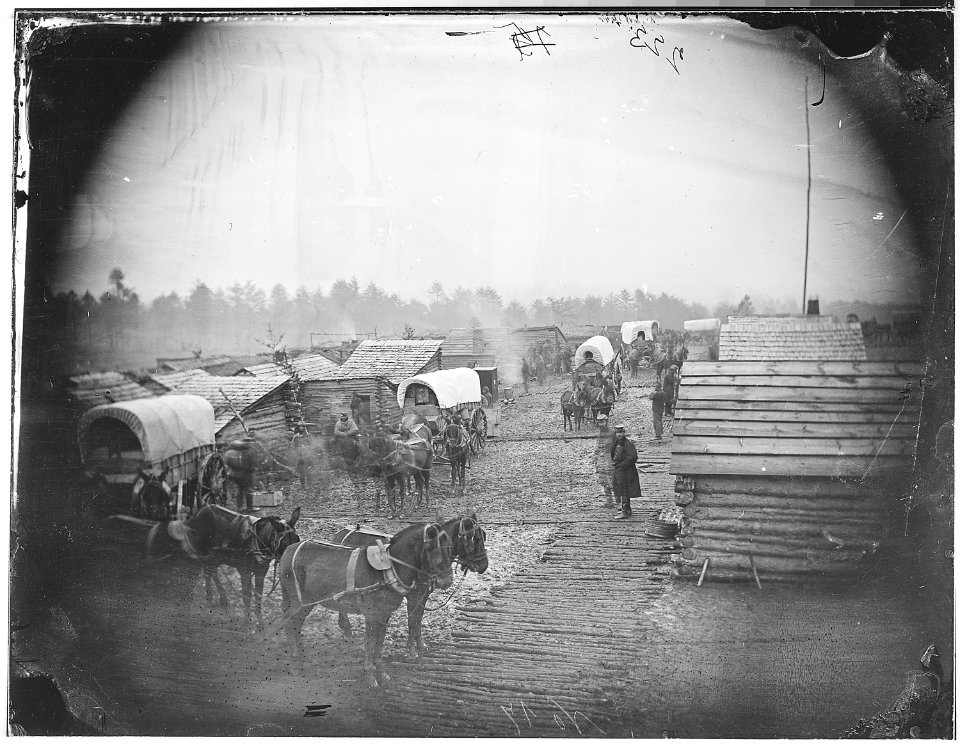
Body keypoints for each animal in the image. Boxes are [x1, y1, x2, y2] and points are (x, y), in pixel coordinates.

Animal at [274, 520, 454, 684]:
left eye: (451, 548)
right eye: (435, 550)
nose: (447, 581)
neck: (389, 569)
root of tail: (288, 551)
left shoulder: (384, 614)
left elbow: (380, 643)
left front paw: (381, 671)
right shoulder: (373, 615)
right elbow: (370, 643)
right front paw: (370, 675)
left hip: (307, 603)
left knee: (295, 626)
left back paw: (302, 656)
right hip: (298, 602)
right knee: (289, 625)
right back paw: (295, 661)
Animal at [336, 512, 488, 656]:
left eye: (484, 537)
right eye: (474, 539)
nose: (484, 566)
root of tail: (341, 533)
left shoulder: (423, 595)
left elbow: (418, 619)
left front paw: (420, 644)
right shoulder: (413, 596)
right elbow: (412, 620)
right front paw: (412, 650)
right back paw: (347, 629)